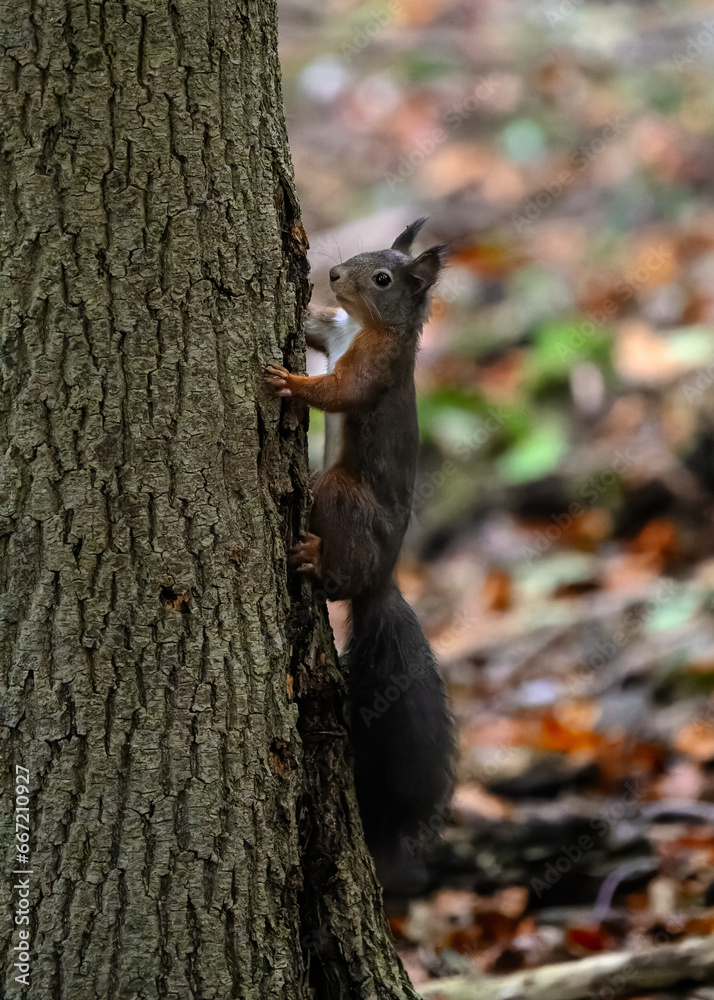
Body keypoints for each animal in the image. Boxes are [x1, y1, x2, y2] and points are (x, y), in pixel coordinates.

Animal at [264, 219, 454, 892]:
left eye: (384, 278)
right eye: (363, 258)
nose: (334, 273)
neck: (366, 325)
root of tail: (385, 578)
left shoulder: (374, 368)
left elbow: (341, 390)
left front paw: (290, 383)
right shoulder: (335, 333)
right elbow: (314, 329)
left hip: (342, 495)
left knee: (340, 575)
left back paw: (315, 559)